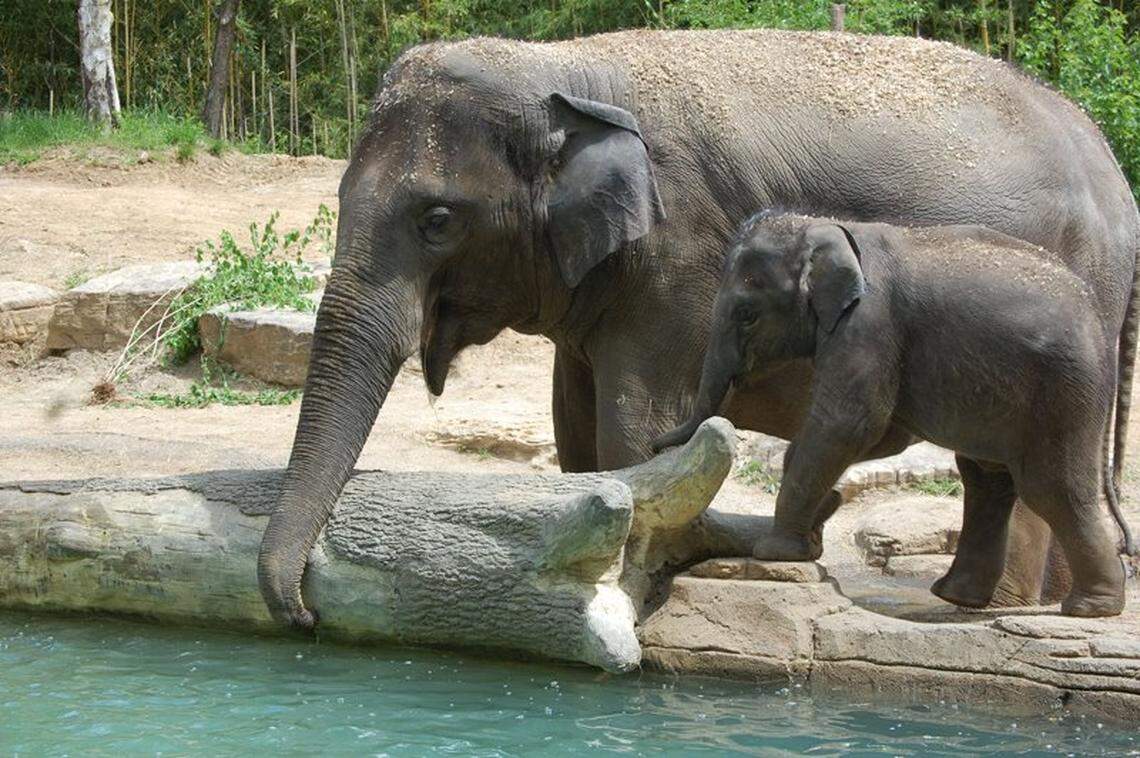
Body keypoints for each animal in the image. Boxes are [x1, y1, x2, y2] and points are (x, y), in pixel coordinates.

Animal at [653, 213, 1133, 617]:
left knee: (1049, 487)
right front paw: (816, 527)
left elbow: (850, 424)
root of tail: (1097, 315)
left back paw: (1089, 609)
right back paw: (958, 596)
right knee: (987, 479)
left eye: (748, 315)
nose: (655, 446)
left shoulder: (869, 325)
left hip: (1064, 391)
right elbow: (881, 433)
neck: (825, 226)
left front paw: (776, 552)